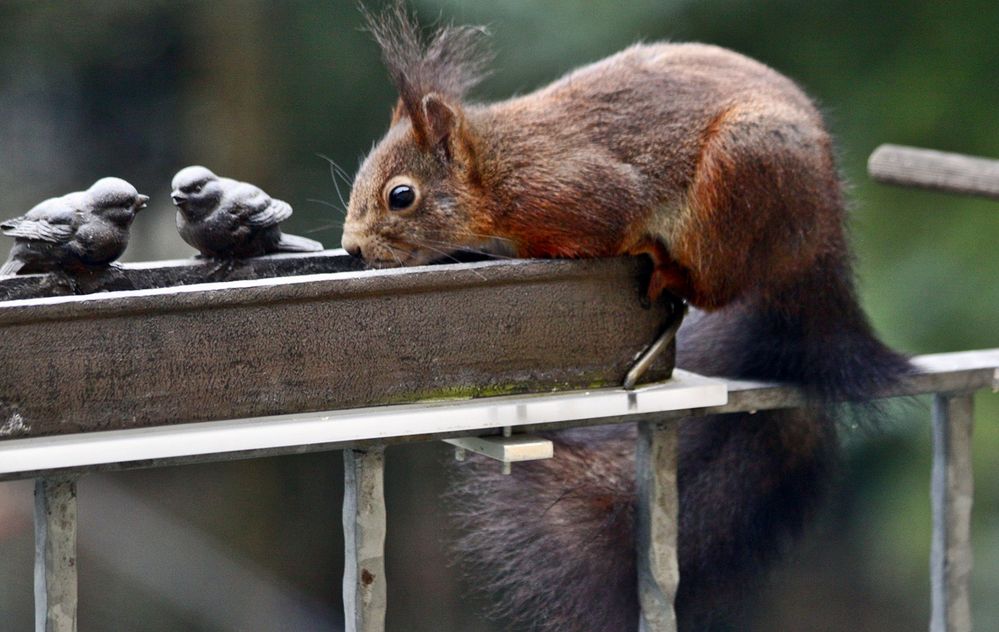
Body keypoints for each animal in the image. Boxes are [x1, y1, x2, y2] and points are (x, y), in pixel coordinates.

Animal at [342, 4, 908, 632]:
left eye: (401, 196)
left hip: (744, 175)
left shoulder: (580, 192)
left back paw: (669, 272)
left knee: (717, 285)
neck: (498, 168)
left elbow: (607, 224)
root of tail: (819, 251)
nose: (352, 249)